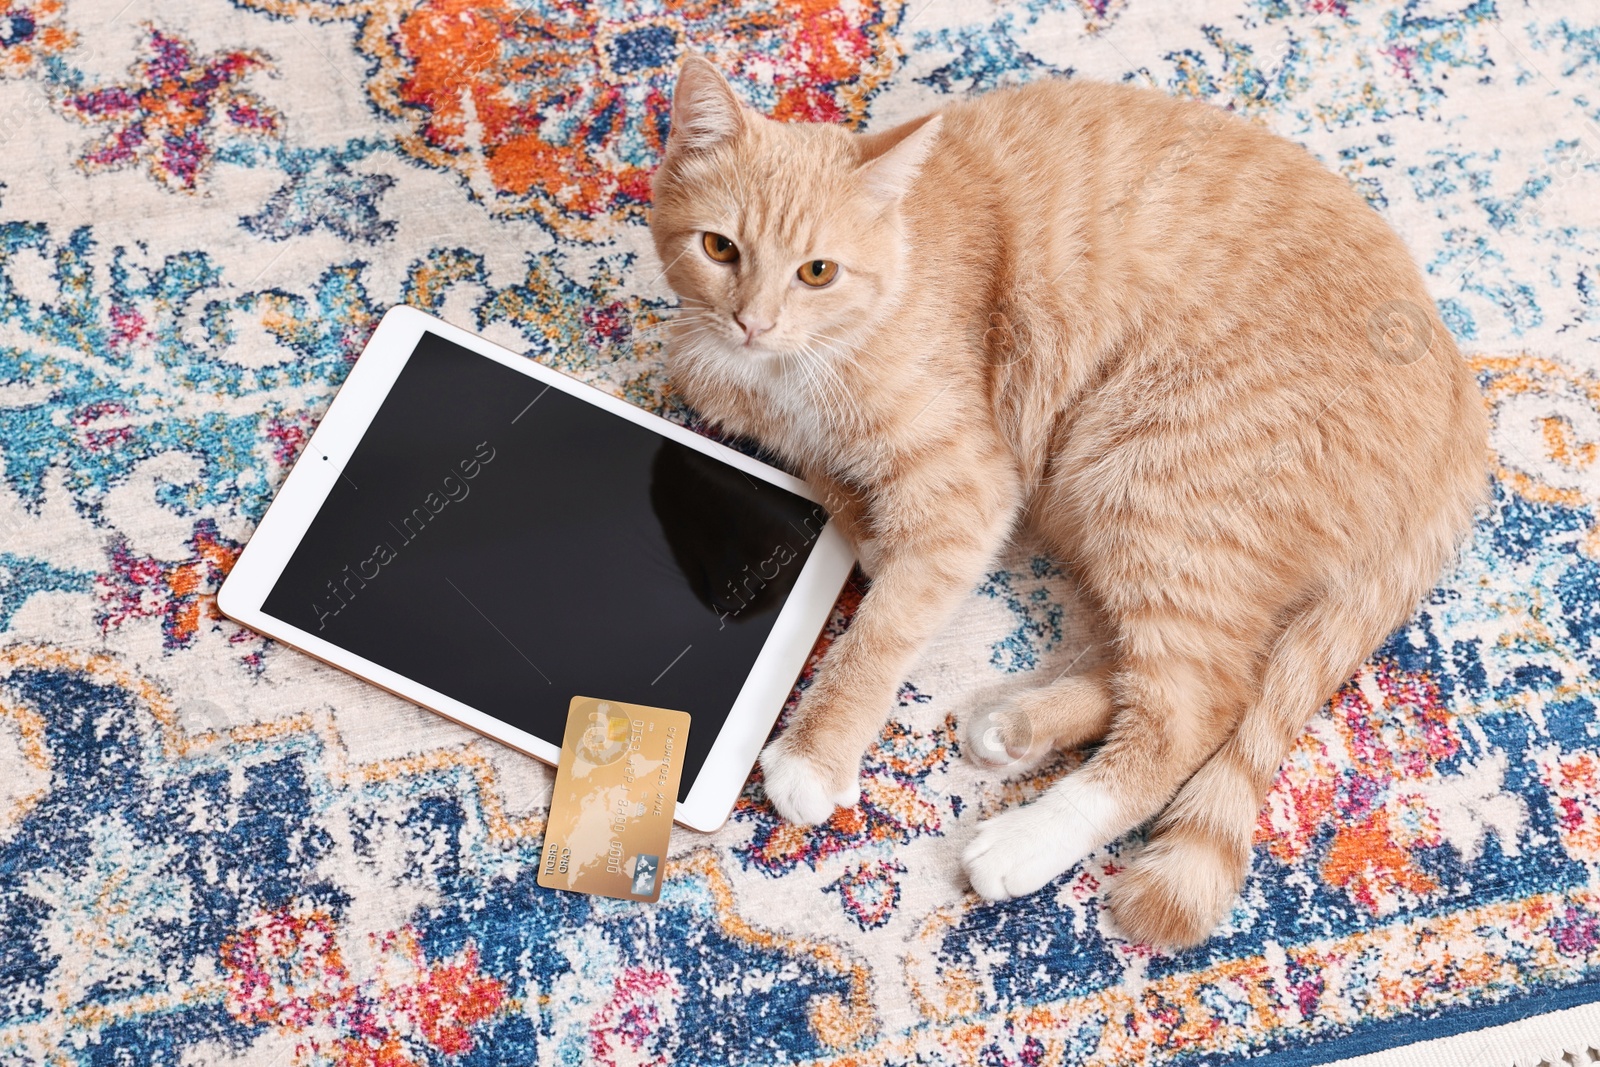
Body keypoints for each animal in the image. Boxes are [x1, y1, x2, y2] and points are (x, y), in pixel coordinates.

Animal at [649, 54, 1484, 947]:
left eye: (817, 271)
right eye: (719, 248)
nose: (751, 320)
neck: (787, 374)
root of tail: (1463, 420)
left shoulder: (972, 489)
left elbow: (883, 629)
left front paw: (817, 750)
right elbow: (833, 491)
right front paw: (861, 529)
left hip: (1149, 477)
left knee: (1201, 710)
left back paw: (1029, 838)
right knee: (1194, 671)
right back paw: (1018, 728)